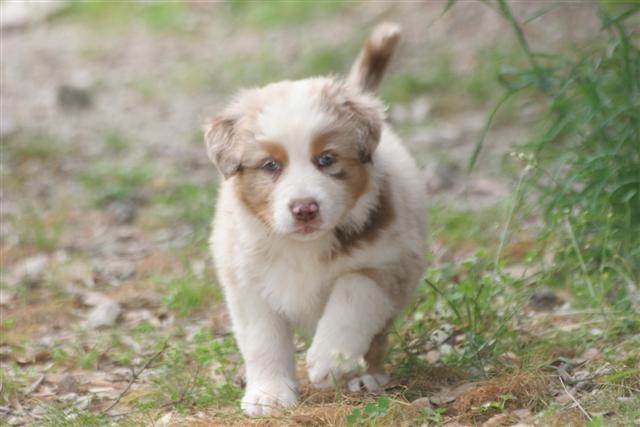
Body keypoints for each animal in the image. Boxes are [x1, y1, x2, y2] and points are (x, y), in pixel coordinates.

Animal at [205, 21, 424, 416]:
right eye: (271, 165)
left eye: (327, 159)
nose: (305, 208)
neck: (300, 246)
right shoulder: (247, 284)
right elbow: (263, 342)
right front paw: (269, 395)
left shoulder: (389, 263)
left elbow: (351, 297)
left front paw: (330, 361)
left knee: (376, 336)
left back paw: (365, 376)